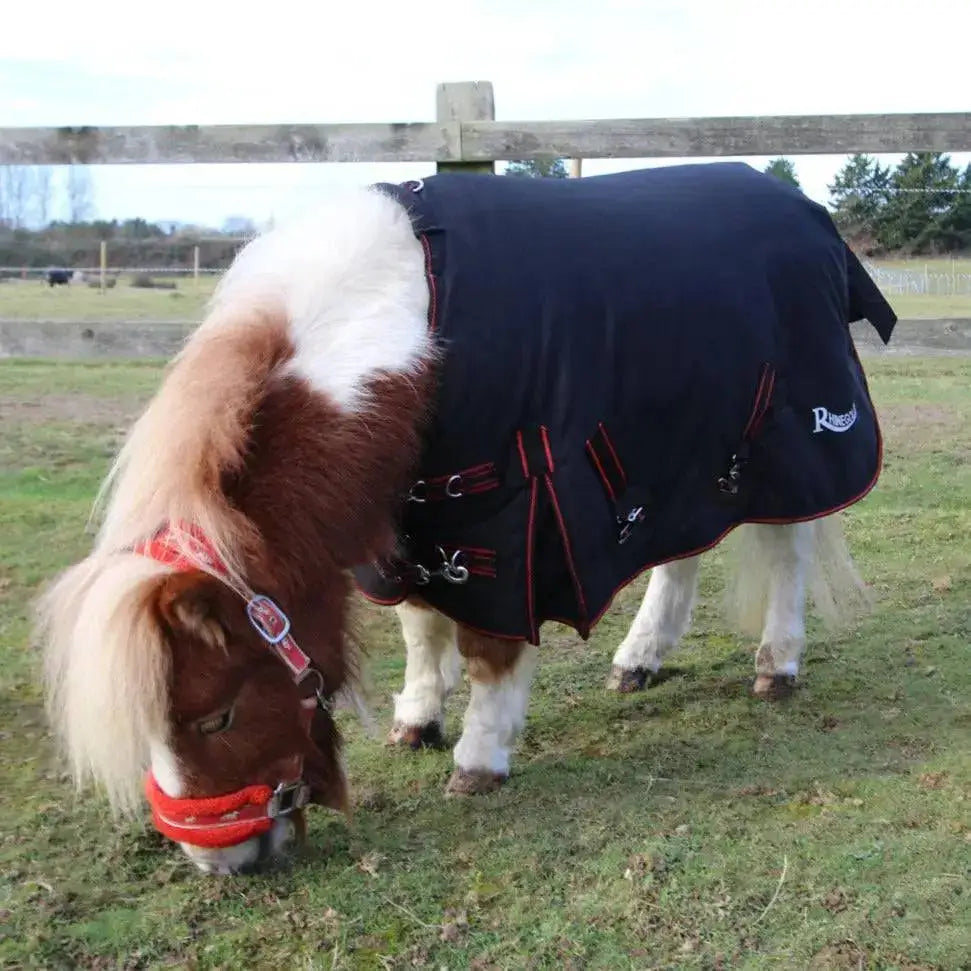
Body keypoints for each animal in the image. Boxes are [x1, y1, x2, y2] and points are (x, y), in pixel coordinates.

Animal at [39, 182, 864, 872]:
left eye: (217, 715)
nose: (219, 863)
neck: (406, 335)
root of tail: (796, 204)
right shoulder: (409, 524)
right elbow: (419, 624)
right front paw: (416, 718)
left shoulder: (501, 524)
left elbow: (486, 648)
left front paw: (478, 754)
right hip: (670, 453)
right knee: (678, 551)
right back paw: (639, 657)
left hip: (775, 449)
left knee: (785, 550)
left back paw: (776, 664)